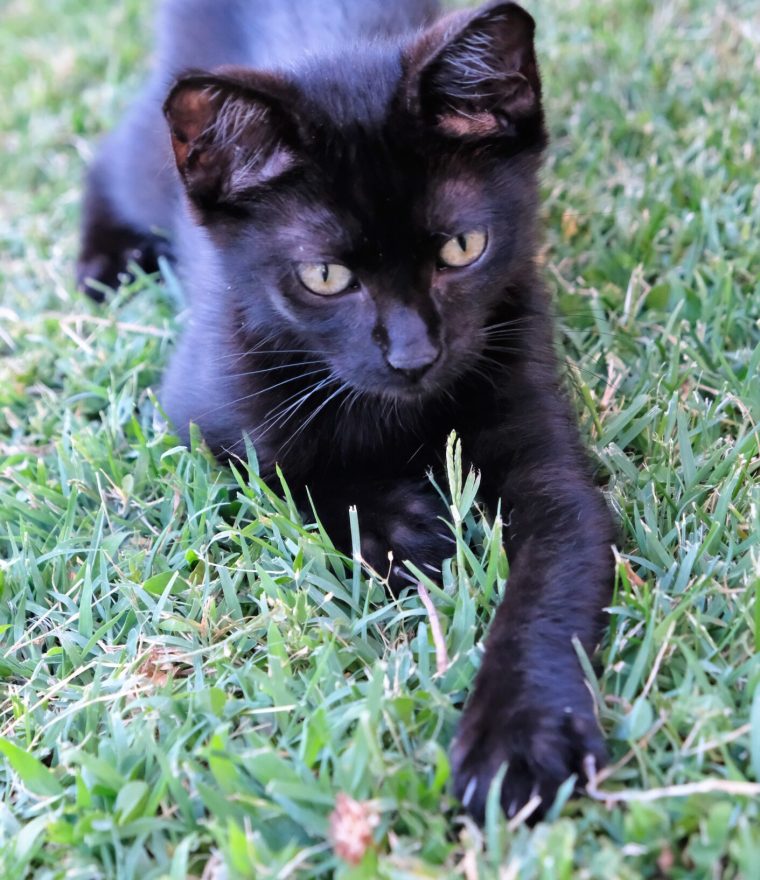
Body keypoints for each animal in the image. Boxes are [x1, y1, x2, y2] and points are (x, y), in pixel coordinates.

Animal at [77, 0, 616, 824]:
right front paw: (403, 527)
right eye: (326, 277)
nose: (414, 354)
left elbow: (556, 567)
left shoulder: (535, 421)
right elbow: (281, 471)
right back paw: (102, 260)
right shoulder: (207, 404)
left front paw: (520, 735)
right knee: (110, 156)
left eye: (464, 247)